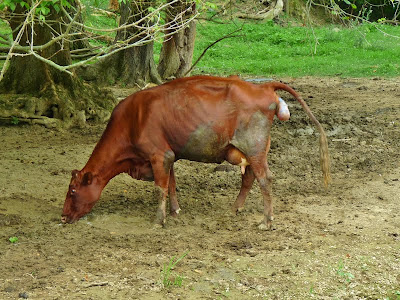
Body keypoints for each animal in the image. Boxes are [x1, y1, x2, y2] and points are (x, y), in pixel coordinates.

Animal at [61, 75, 332, 230]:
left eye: (72, 191)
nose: (63, 217)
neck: (132, 120)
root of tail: (262, 86)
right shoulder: (169, 155)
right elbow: (171, 184)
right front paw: (175, 211)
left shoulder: (159, 155)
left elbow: (160, 187)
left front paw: (158, 220)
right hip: (252, 150)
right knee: (249, 177)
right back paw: (235, 209)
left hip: (254, 146)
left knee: (265, 179)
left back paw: (266, 221)